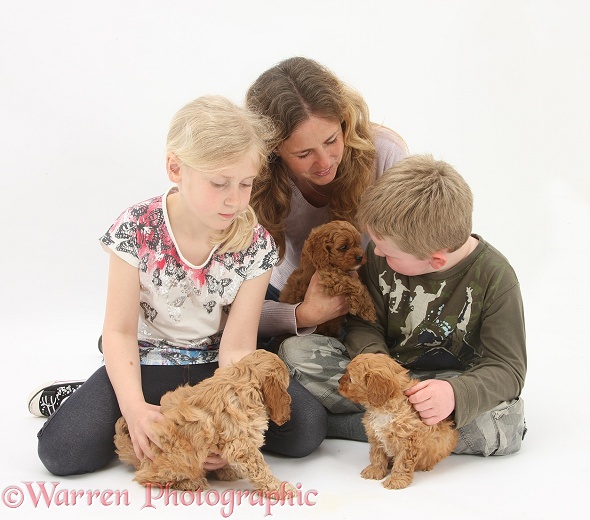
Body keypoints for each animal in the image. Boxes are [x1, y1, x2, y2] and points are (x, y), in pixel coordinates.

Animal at [114, 350, 292, 492]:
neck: (244, 380)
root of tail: (141, 460)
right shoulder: (242, 445)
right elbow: (260, 468)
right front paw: (280, 488)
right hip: (181, 459)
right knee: (147, 478)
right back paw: (191, 483)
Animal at [340, 352, 460, 490]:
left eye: (350, 379)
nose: (338, 381)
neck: (384, 410)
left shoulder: (409, 442)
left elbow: (403, 463)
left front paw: (397, 480)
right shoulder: (376, 437)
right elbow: (377, 455)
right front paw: (375, 470)